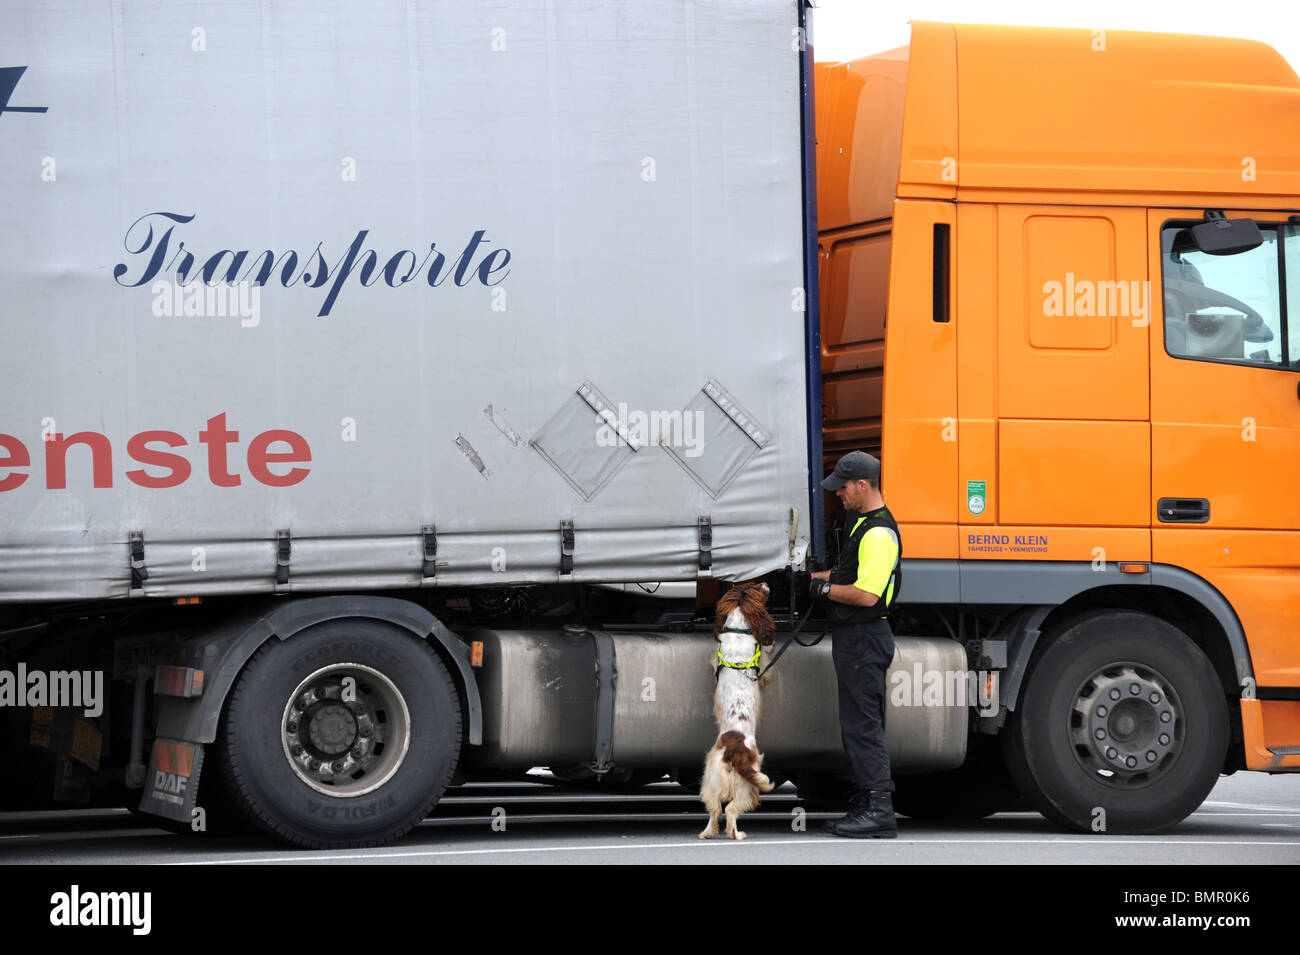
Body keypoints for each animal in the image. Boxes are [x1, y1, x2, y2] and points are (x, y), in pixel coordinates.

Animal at [702, 579, 769, 841]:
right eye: (757, 586)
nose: (766, 580)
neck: (738, 628)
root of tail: (733, 750)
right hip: (747, 785)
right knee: (730, 809)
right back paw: (736, 834)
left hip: (711, 779)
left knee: (713, 809)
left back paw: (707, 833)